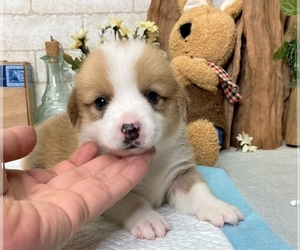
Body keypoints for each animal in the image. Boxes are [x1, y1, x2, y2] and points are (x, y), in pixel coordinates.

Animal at [23, 40, 244, 238]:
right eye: (100, 102)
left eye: (153, 96)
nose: (130, 128)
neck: (152, 162)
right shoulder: (115, 193)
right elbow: (133, 201)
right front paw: (149, 219)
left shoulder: (180, 173)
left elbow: (199, 191)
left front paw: (218, 207)